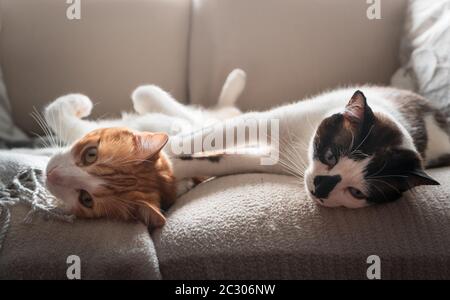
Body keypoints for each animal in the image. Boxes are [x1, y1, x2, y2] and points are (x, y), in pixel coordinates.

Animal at [169, 86, 450, 207]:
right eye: (330, 156)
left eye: (357, 193)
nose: (320, 188)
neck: (300, 144)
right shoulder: (265, 121)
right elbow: (212, 137)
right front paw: (165, 149)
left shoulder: (269, 161)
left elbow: (222, 160)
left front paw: (173, 167)